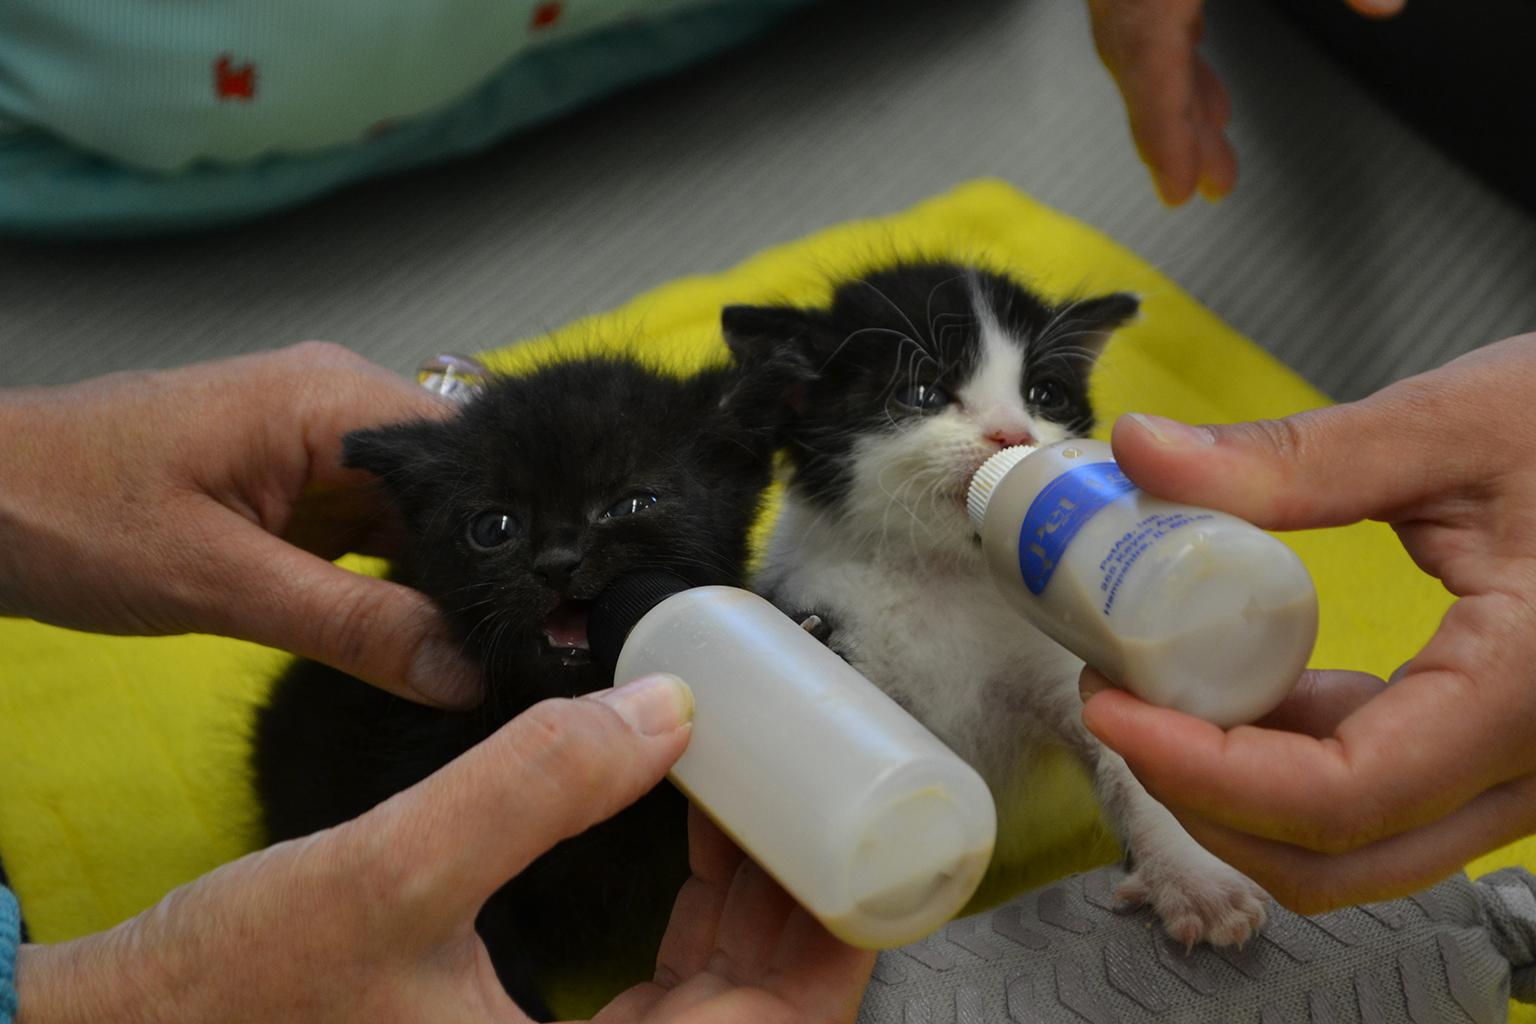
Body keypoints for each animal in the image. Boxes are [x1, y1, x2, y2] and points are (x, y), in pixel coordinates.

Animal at [731, 260, 1271, 951]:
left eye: (1044, 394)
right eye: (923, 393)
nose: (1013, 434)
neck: (945, 576)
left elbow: (1126, 758)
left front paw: (1195, 877)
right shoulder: (825, 613)